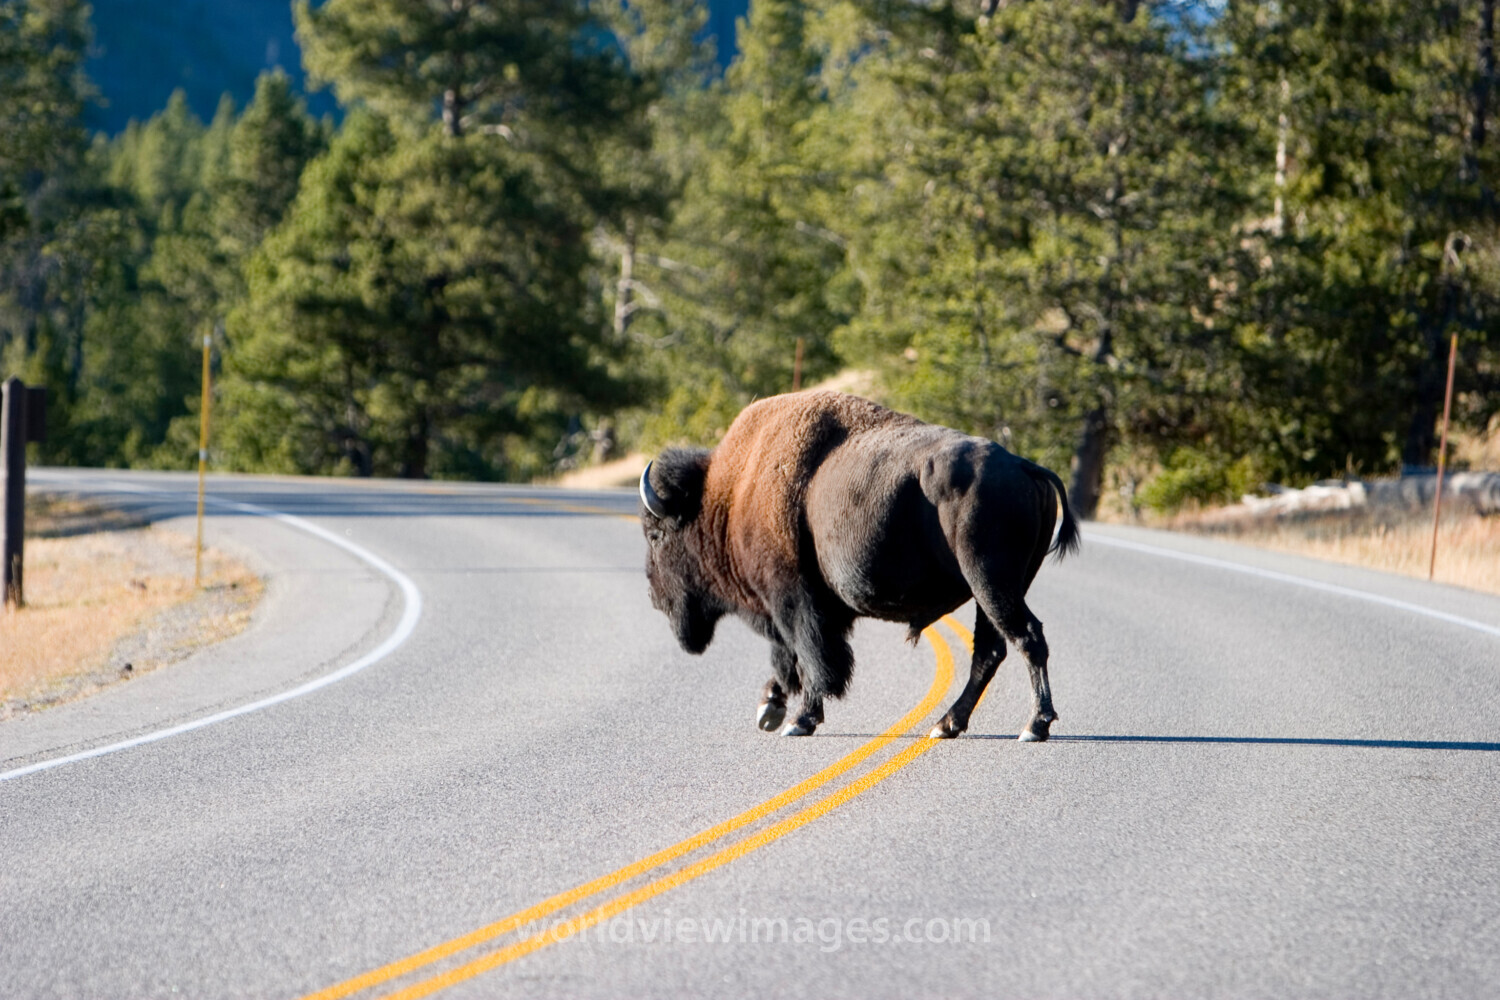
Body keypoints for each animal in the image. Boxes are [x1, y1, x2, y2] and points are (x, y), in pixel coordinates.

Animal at [639, 390, 1079, 741]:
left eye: (655, 535)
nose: (654, 598)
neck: (731, 496)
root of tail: (1024, 466)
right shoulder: (804, 609)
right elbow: (789, 659)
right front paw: (771, 708)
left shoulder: (794, 601)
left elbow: (812, 659)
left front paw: (798, 721)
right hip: (996, 590)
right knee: (991, 650)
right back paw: (947, 725)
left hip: (990, 582)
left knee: (1026, 637)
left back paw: (1033, 726)